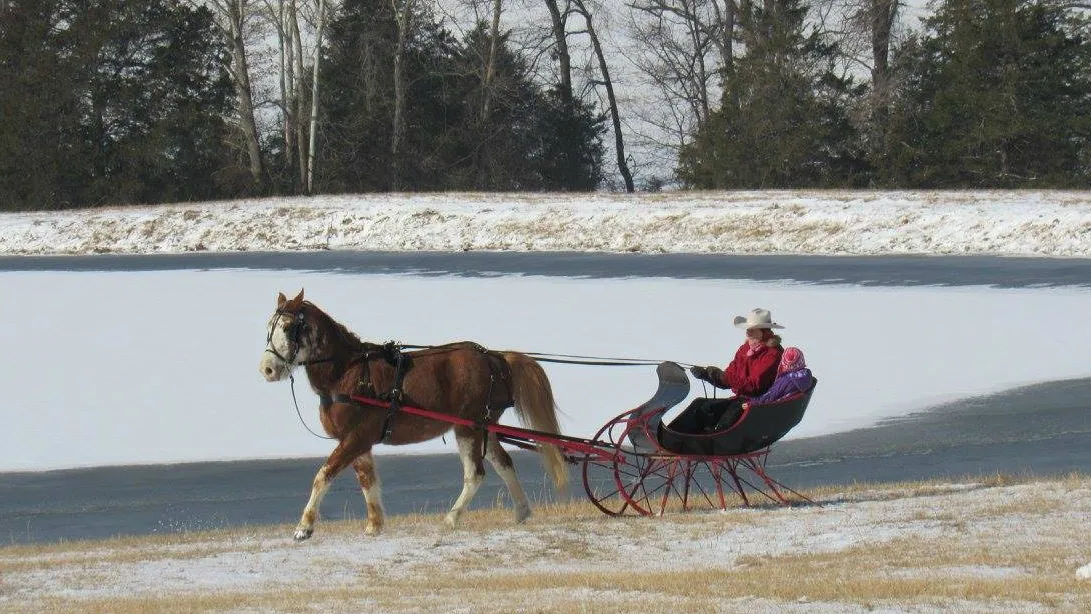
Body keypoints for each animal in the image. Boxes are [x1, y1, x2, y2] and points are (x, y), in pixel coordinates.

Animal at [258, 289, 569, 540]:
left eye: (288, 327)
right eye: (269, 327)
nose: (267, 369)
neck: (349, 374)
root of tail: (495, 357)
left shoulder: (355, 438)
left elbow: (323, 474)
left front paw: (304, 527)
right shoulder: (358, 441)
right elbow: (367, 480)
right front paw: (374, 524)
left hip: (468, 428)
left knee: (475, 474)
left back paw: (451, 518)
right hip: (485, 427)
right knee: (504, 464)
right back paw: (522, 511)